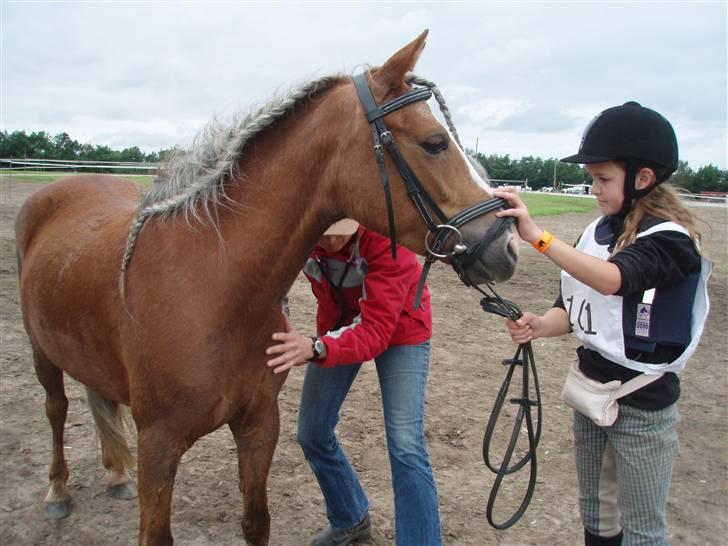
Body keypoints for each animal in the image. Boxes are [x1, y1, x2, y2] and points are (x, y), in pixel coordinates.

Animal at [14, 30, 520, 544]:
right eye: (435, 143)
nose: (507, 244)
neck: (213, 291)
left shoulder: (259, 424)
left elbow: (257, 521)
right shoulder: (158, 444)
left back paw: (116, 476)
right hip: (41, 351)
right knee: (56, 408)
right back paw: (58, 492)